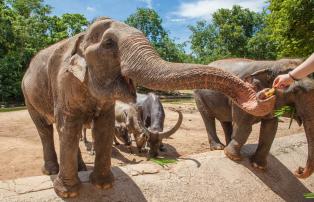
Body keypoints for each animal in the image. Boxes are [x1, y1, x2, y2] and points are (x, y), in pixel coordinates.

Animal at [21, 16, 274, 198]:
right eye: (109, 43)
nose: (264, 94)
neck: (81, 38)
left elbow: (104, 125)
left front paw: (103, 185)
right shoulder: (64, 82)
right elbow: (69, 125)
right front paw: (67, 193)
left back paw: (81, 168)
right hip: (27, 95)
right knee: (45, 129)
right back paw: (51, 171)